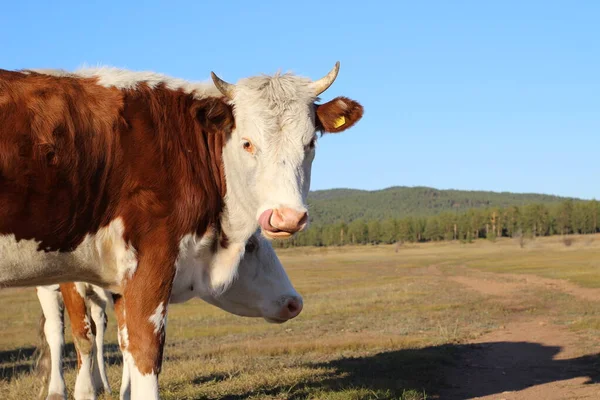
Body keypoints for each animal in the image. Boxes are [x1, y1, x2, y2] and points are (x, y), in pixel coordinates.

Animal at [36, 231, 300, 400]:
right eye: (250, 245)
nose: (294, 302)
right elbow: (83, 338)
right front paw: (84, 392)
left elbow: (126, 341)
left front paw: (127, 392)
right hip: (47, 289)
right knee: (56, 333)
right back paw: (57, 390)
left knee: (98, 329)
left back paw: (102, 383)